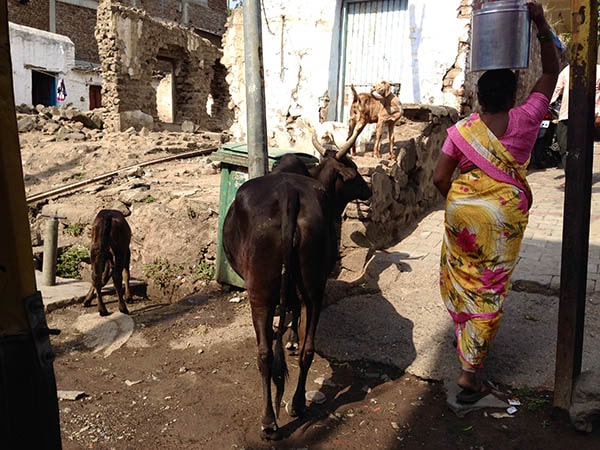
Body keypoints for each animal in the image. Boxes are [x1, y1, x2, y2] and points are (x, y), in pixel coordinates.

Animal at [220, 125, 370, 442]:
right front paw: (290, 338)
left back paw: (269, 422)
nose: (369, 190)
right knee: (307, 349)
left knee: (265, 354)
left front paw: (286, 337)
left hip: (260, 294)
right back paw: (298, 404)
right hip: (314, 290)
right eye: (353, 169)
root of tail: (289, 196)